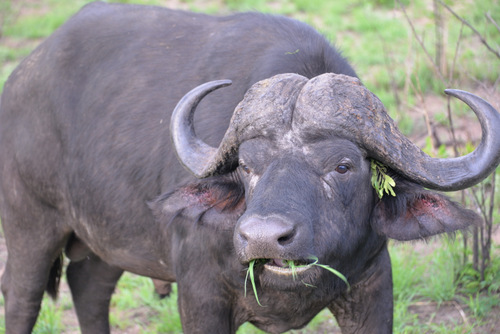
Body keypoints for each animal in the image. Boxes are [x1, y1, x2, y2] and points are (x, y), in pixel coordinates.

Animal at [0, 2, 500, 334]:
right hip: (30, 227)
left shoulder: (373, 288)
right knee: (22, 299)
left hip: (106, 240)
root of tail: (21, 79)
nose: (263, 237)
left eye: (343, 165)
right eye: (246, 165)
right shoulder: (200, 298)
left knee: (88, 287)